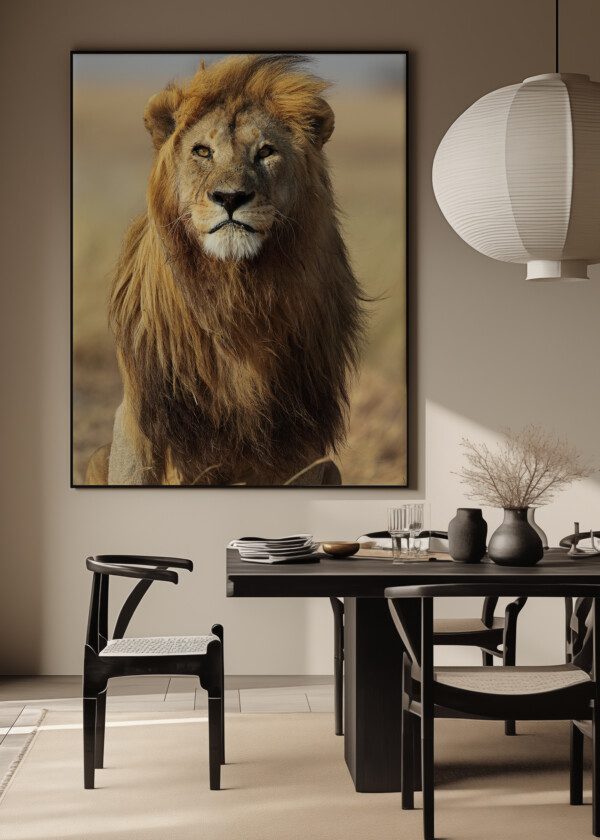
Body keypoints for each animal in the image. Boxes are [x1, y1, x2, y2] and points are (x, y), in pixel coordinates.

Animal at [86, 54, 365, 486]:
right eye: (202, 151)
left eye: (266, 152)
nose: (230, 198)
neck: (234, 292)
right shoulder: (141, 414)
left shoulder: (299, 436)